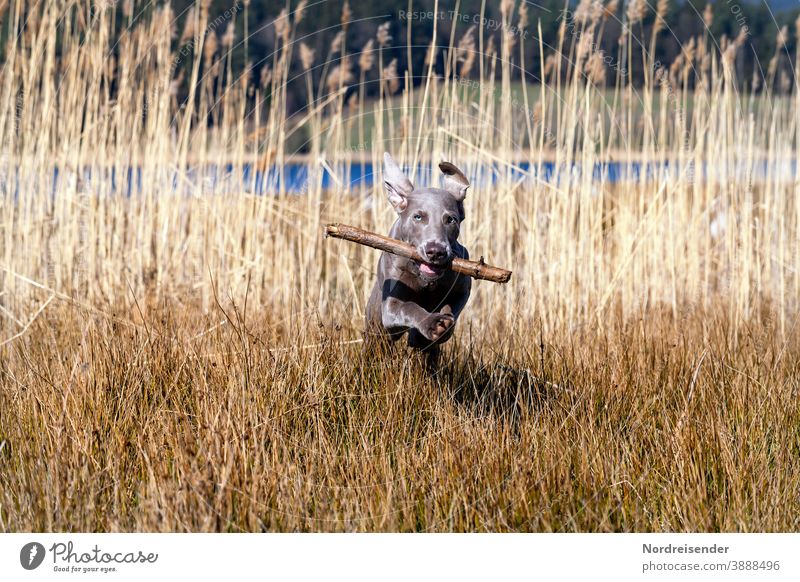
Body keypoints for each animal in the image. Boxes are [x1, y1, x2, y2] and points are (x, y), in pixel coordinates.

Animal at [366, 154, 472, 370]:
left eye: (451, 219)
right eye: (418, 217)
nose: (436, 251)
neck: (425, 279)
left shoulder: (463, 289)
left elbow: (451, 308)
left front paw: (442, 327)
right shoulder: (391, 306)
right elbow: (409, 307)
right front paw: (431, 323)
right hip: (375, 328)